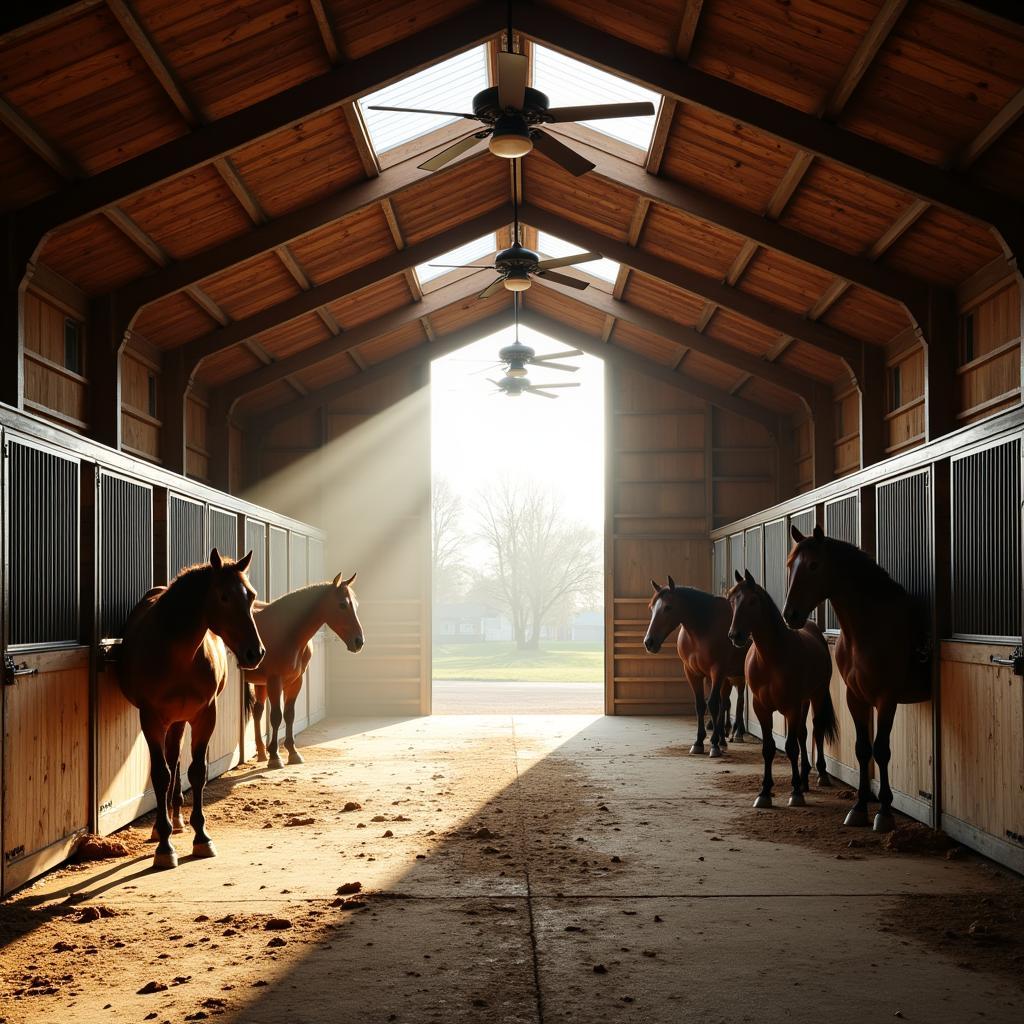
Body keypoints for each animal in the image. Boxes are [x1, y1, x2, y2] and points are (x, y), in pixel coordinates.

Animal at [117, 548, 266, 868]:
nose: (255, 653)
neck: (180, 658)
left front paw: (202, 837)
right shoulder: (151, 719)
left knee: (175, 761)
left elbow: (197, 772)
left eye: (251, 595)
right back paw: (162, 827)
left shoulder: (204, 716)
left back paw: (176, 820)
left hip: (178, 721)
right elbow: (160, 775)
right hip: (167, 721)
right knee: (167, 766)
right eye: (224, 596)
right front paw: (164, 847)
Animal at [244, 577, 364, 770]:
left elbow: (289, 715)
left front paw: (293, 753)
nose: (359, 641)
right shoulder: (274, 681)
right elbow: (276, 716)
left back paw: (261, 753)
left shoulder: (295, 682)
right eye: (342, 605)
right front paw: (275, 757)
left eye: (356, 604)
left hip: (259, 683)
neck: (288, 633)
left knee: (258, 711)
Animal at [638, 581, 745, 757]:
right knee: (725, 703)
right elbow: (701, 705)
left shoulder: (717, 671)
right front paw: (699, 742)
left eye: (668, 607)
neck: (703, 628)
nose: (649, 642)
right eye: (651, 607)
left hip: (738, 677)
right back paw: (723, 740)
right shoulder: (693, 673)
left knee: (738, 701)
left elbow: (713, 704)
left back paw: (736, 734)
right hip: (725, 679)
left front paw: (713, 744)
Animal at [724, 569, 835, 806]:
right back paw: (804, 779)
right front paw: (765, 792)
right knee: (803, 732)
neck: (771, 659)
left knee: (817, 728)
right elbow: (768, 748)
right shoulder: (761, 708)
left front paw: (795, 793)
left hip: (817, 694)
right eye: (731, 600)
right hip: (803, 702)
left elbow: (791, 748)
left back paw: (820, 775)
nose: (735, 635)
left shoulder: (791, 707)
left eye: (752, 601)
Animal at [782, 528, 929, 831]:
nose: (790, 615)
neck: (867, 633)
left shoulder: (886, 699)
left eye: (814, 565)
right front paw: (860, 807)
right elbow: (863, 749)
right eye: (790, 565)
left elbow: (881, 750)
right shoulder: (855, 698)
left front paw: (884, 812)